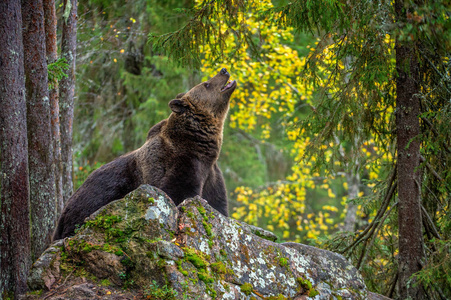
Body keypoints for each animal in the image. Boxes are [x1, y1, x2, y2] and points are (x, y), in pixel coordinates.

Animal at [53, 68, 238, 239]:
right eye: (206, 84)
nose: (223, 70)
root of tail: (61, 214)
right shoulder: (182, 163)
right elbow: (177, 192)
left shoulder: (211, 174)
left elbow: (218, 204)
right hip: (92, 200)